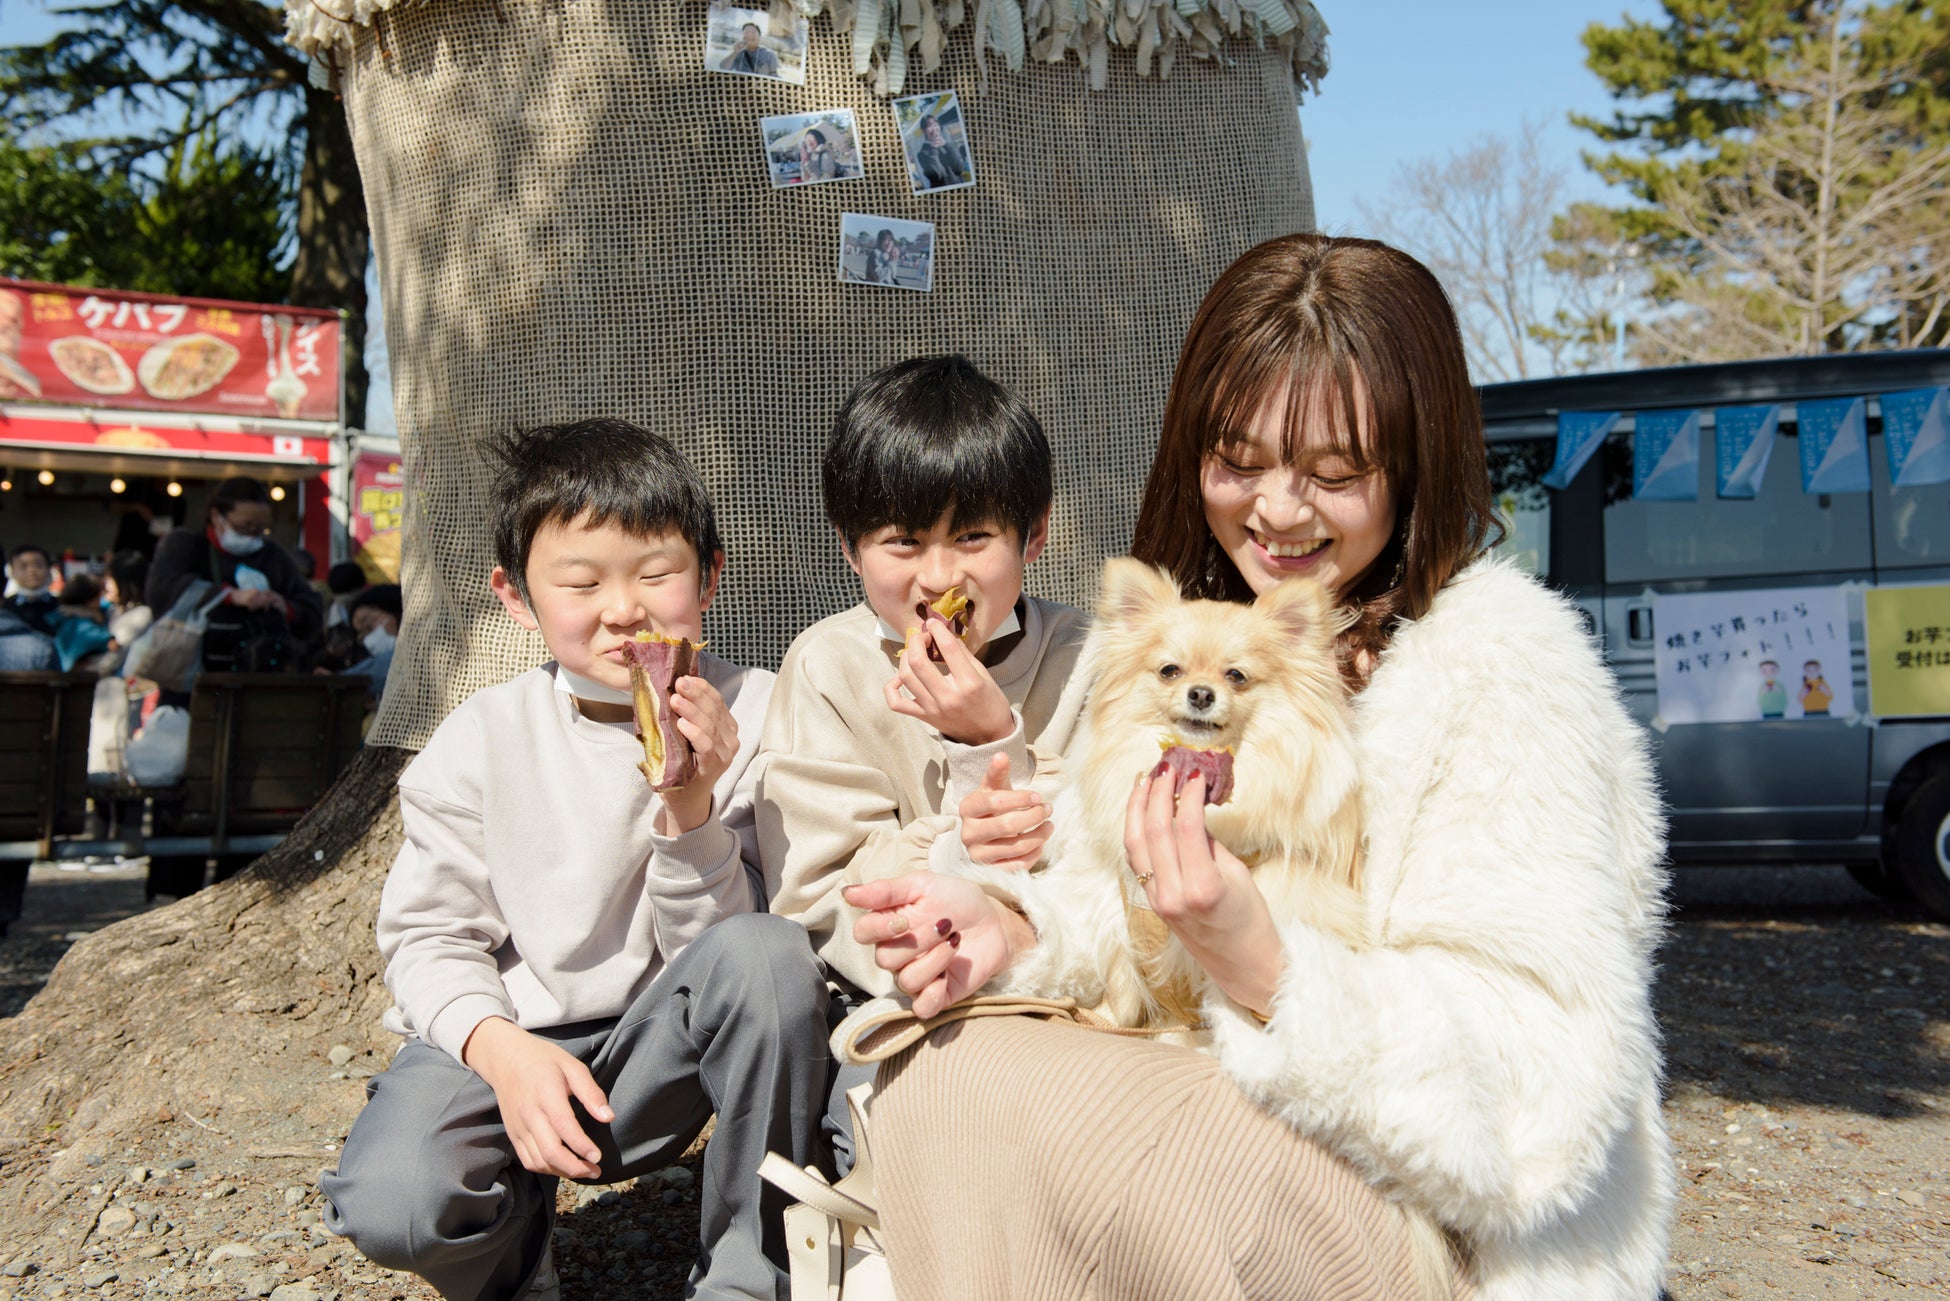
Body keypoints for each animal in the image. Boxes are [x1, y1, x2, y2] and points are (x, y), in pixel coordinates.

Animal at [1060, 561, 1365, 1037]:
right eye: (1170, 671)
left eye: (1236, 676)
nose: (1201, 693)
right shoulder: (1116, 915)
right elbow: (1122, 991)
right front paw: (1101, 1019)